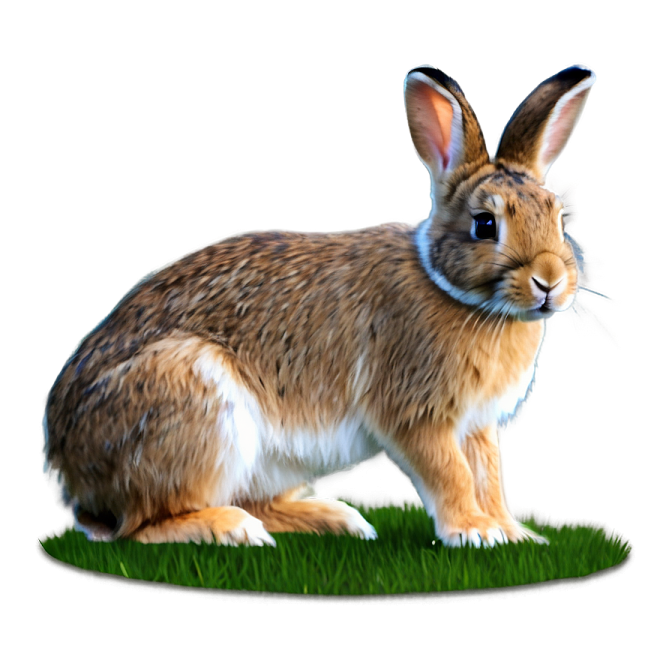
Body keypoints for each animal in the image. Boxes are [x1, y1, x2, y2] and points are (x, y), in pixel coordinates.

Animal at [41, 62, 599, 549]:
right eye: (485, 225)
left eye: (558, 215)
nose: (550, 281)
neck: (452, 289)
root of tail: (67, 470)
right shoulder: (419, 413)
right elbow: (452, 476)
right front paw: (475, 533)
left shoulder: (478, 427)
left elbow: (489, 478)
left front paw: (514, 534)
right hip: (194, 405)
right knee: (139, 527)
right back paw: (232, 530)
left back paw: (332, 519)